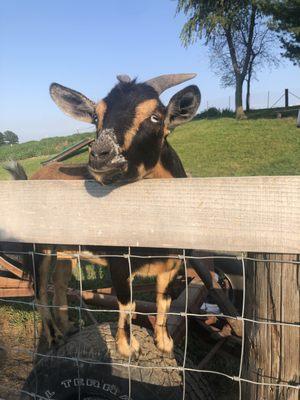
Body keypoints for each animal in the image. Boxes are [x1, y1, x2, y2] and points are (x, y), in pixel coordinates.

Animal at [7, 73, 202, 358]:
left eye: (156, 116)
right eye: (96, 117)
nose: (101, 156)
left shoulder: (173, 264)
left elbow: (163, 300)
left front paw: (164, 342)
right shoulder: (119, 261)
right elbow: (127, 304)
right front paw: (128, 348)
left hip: (66, 250)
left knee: (60, 284)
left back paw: (68, 327)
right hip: (39, 247)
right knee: (41, 290)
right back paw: (54, 337)